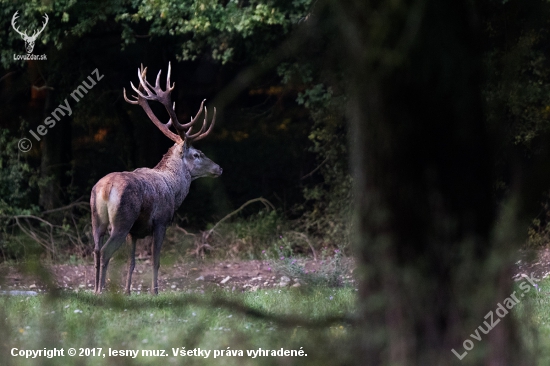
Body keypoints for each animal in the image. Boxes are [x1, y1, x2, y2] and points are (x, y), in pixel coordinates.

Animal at [90, 63, 222, 294]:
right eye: (197, 154)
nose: (219, 168)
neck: (175, 191)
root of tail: (105, 189)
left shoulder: (134, 232)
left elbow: (132, 262)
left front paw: (127, 291)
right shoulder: (161, 221)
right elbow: (155, 261)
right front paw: (155, 291)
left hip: (96, 218)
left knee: (96, 250)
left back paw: (96, 288)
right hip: (122, 219)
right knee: (105, 251)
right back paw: (101, 290)